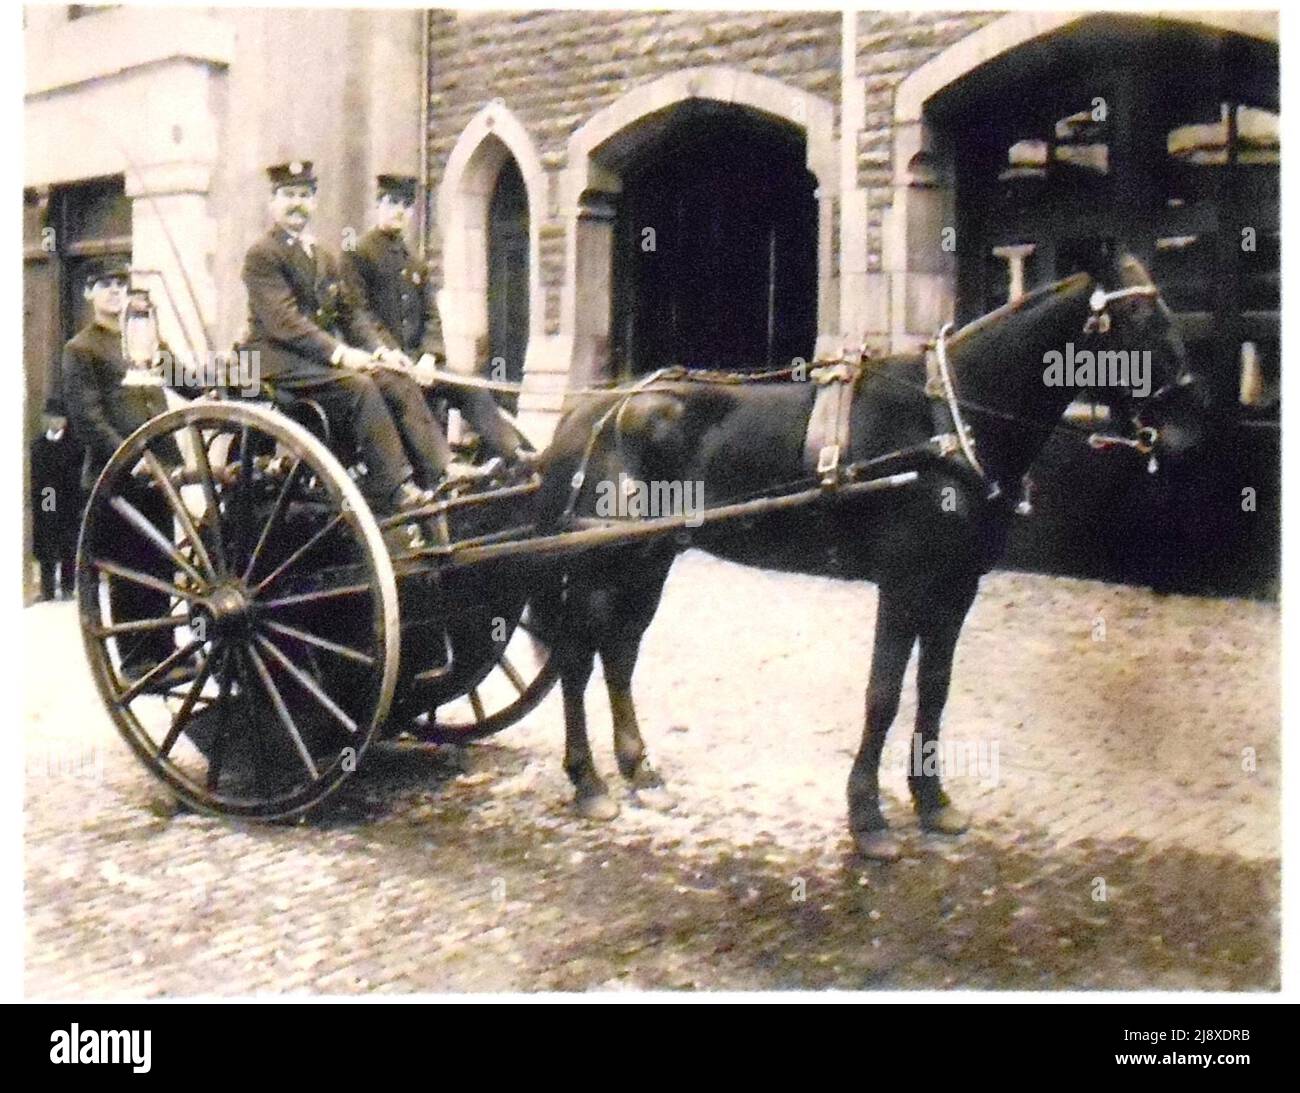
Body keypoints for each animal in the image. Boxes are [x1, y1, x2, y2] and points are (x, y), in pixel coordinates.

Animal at [525, 249, 1196, 862]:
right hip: (601, 565)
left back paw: (639, 769)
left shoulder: (957, 586)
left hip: (648, 559)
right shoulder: (903, 583)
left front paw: (934, 803)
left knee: (619, 652)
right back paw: (588, 783)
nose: (1188, 421)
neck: (947, 421)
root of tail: (592, 410)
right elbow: (884, 694)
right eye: (1137, 317)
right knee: (577, 659)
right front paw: (868, 817)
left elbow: (934, 688)